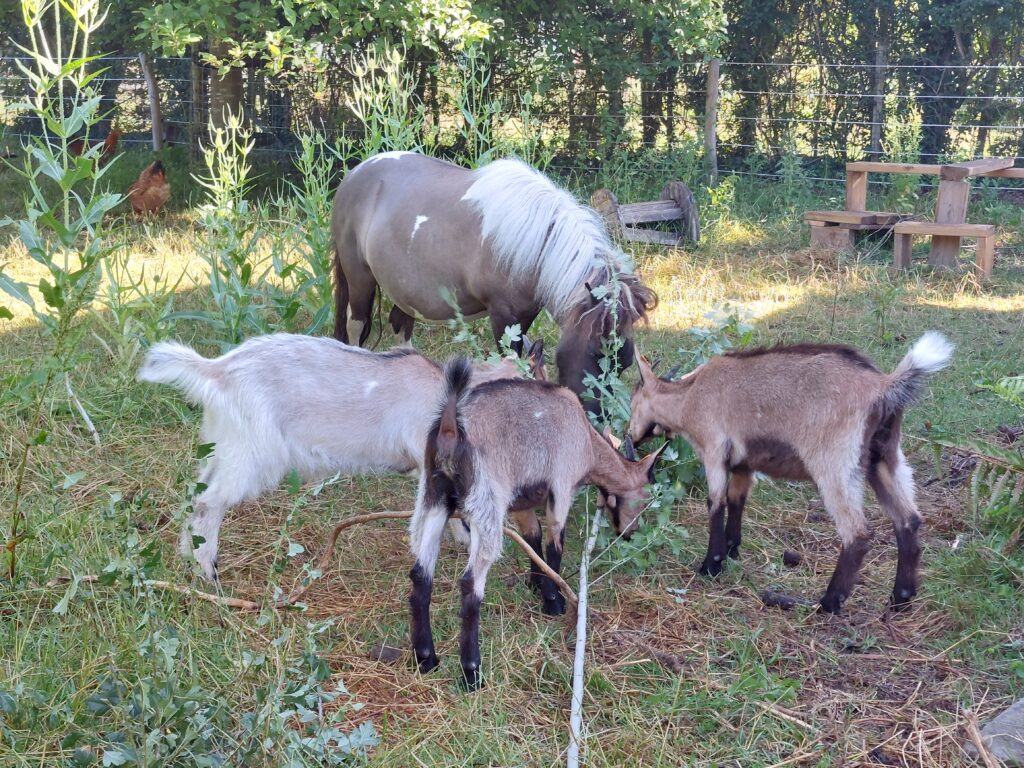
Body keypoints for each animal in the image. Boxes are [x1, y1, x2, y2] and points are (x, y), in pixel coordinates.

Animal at [330, 152, 657, 402]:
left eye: (625, 363)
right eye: (595, 351)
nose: (595, 417)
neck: (535, 244)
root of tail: (355, 173)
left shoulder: (525, 316)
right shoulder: (503, 316)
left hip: (405, 292)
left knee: (401, 327)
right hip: (359, 282)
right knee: (355, 327)